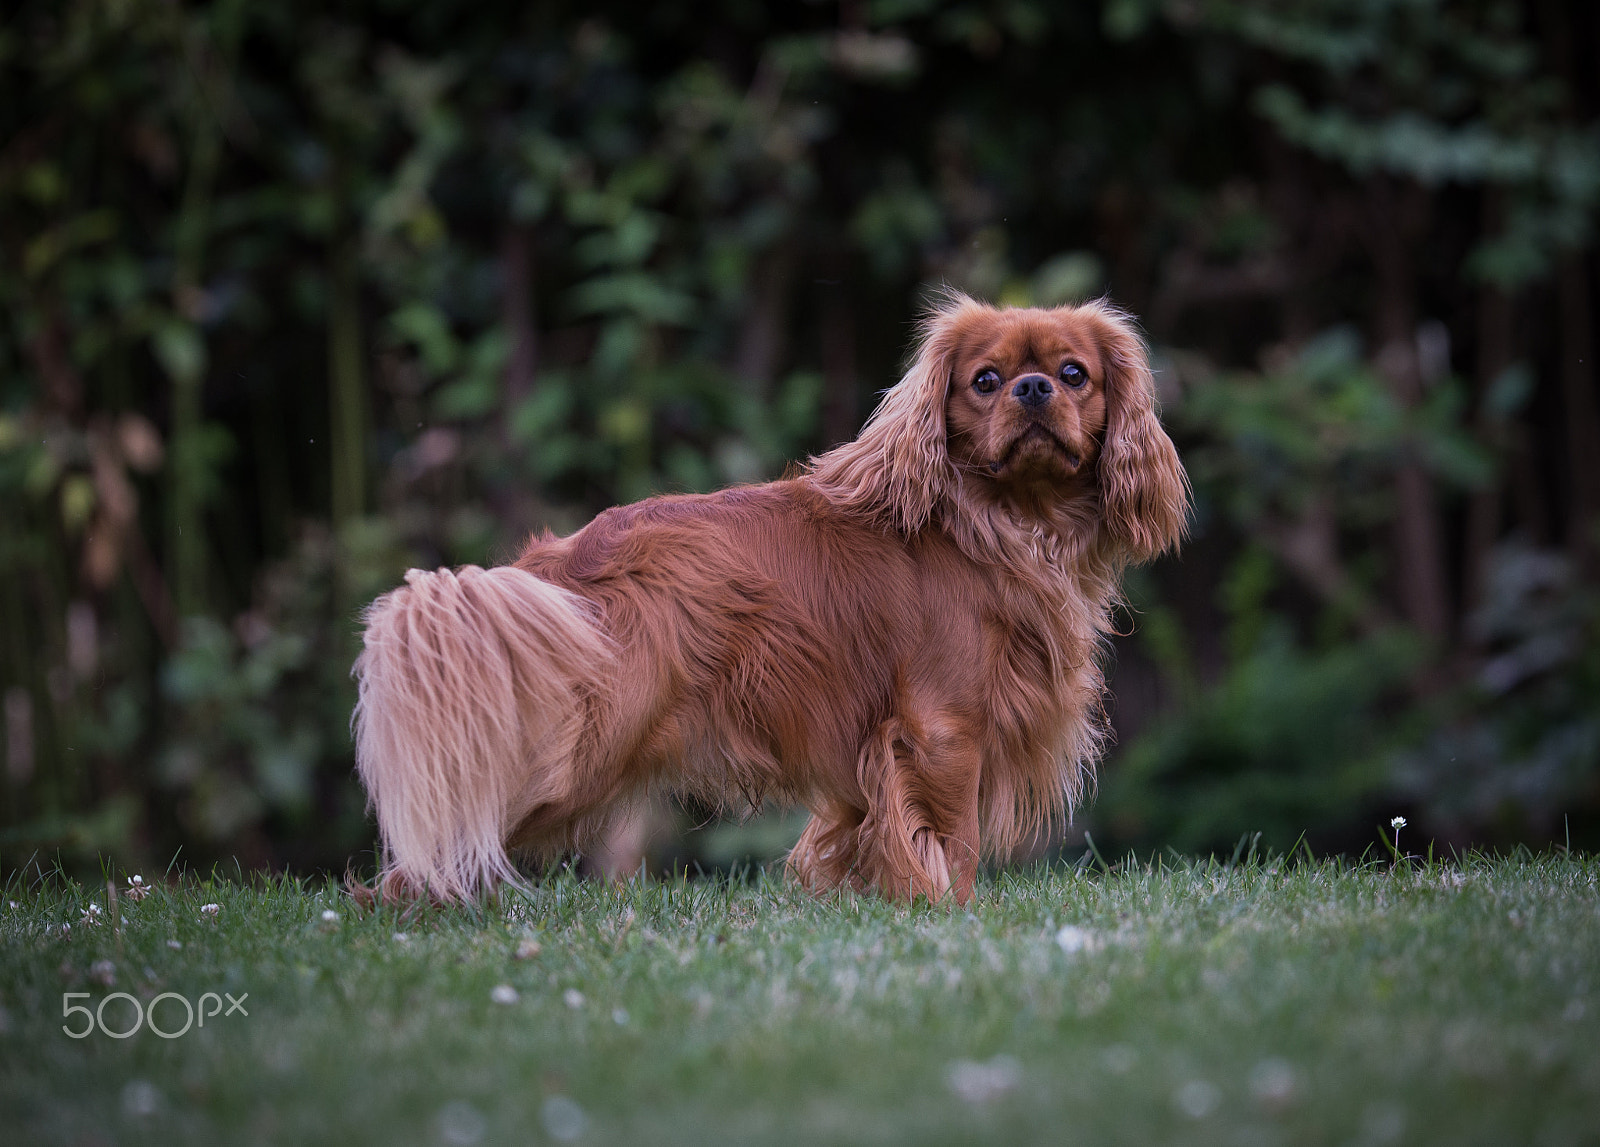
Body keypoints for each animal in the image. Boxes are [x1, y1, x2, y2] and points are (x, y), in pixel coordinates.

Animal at [353, 295, 1190, 902]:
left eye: (1074, 373)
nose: (1033, 387)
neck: (1003, 522)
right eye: (986, 380)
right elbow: (954, 842)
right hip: (578, 752)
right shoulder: (945, 731)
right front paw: (955, 914)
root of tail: (555, 562)